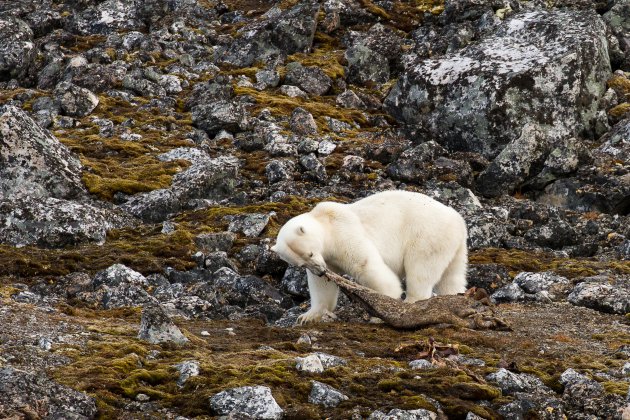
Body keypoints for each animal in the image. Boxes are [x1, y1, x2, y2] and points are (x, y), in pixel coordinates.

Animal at [272, 190, 470, 324]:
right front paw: (308, 316)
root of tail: (458, 219)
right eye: (301, 264)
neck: (326, 223)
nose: (321, 270)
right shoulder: (327, 259)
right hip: (453, 247)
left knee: (420, 270)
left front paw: (384, 308)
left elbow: (364, 264)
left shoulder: (343, 232)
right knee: (451, 277)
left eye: (310, 253)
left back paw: (411, 303)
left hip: (427, 235)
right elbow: (322, 285)